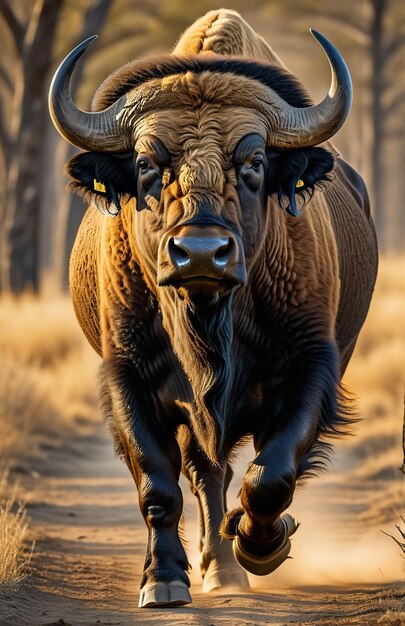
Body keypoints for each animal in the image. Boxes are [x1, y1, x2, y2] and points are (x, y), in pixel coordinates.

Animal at [49, 8, 376, 604]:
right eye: (146, 162)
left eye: (254, 160)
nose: (201, 252)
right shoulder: (128, 377)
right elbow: (158, 485)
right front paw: (163, 580)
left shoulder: (311, 367)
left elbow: (271, 475)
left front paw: (261, 545)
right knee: (205, 474)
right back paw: (215, 568)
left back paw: (233, 561)